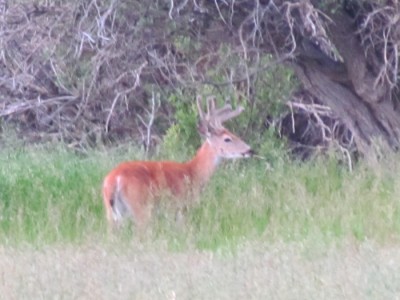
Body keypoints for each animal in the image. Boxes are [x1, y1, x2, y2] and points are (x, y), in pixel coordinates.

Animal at [102, 95, 253, 229]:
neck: (193, 172)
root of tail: (114, 180)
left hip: (111, 214)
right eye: (227, 139)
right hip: (141, 207)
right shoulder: (181, 207)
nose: (250, 150)